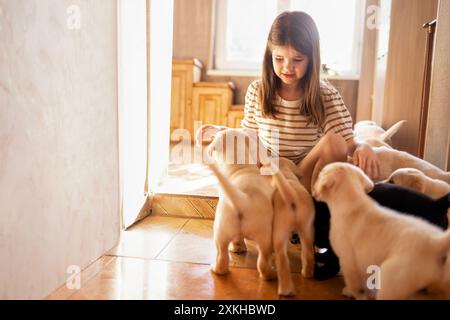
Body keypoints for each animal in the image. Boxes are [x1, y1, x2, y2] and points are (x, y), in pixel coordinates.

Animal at [266, 157, 314, 296]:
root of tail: (292, 195)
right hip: (307, 229)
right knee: (308, 254)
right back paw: (307, 273)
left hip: (279, 232)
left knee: (282, 259)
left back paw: (285, 290)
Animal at [312, 162, 450, 300]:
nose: (316, 243)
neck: (354, 201)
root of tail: (435, 242)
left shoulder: (347, 259)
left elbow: (352, 280)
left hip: (391, 277)